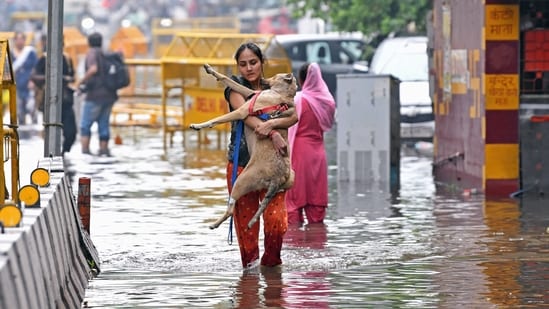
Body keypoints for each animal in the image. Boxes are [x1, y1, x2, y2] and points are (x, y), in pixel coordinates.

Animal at [192, 63, 298, 229]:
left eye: (275, 76)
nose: (262, 80)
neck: (281, 96)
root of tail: (277, 178)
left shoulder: (242, 111)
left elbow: (217, 119)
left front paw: (199, 125)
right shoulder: (250, 93)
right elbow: (229, 80)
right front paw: (211, 70)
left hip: (241, 181)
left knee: (231, 209)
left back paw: (214, 224)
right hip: (289, 180)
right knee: (264, 205)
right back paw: (252, 220)